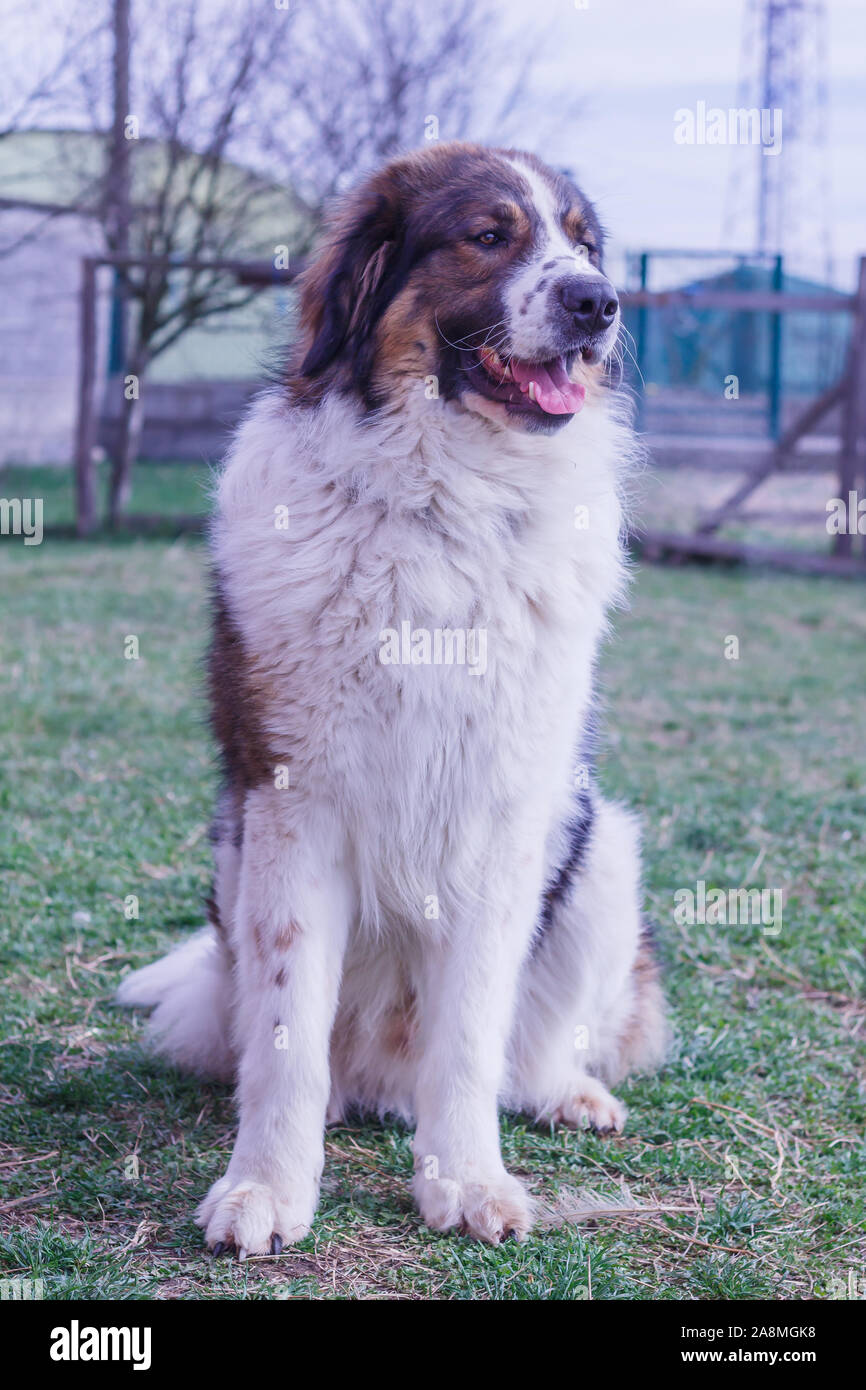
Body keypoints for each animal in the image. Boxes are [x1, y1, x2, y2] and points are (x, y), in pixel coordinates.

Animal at [118, 146, 667, 1256]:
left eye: (583, 243)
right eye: (489, 236)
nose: (598, 302)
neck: (443, 505)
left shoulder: (504, 819)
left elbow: (470, 1036)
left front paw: (466, 1181)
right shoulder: (292, 808)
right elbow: (286, 1029)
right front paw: (266, 1187)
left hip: (599, 849)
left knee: (528, 1048)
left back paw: (564, 1093)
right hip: (234, 858)